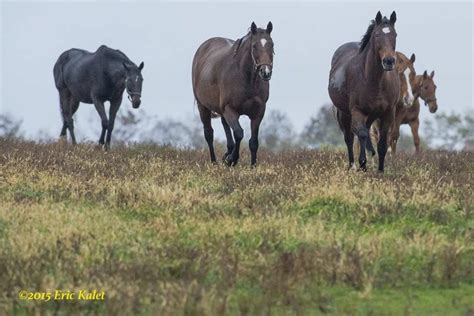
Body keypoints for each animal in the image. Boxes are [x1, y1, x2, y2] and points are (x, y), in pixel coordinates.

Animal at [193, 21, 274, 168]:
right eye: (254, 46)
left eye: (272, 45)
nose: (265, 72)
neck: (245, 78)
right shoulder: (230, 110)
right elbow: (239, 133)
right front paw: (231, 159)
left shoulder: (258, 113)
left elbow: (254, 142)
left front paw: (252, 166)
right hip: (203, 107)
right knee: (209, 134)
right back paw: (214, 162)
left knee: (225, 126)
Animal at [330, 11, 400, 173]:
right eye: (377, 35)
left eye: (395, 34)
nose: (389, 61)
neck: (375, 81)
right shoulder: (357, 111)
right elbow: (360, 135)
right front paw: (363, 164)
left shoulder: (388, 114)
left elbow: (382, 143)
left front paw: (380, 171)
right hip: (345, 113)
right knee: (350, 138)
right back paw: (352, 165)